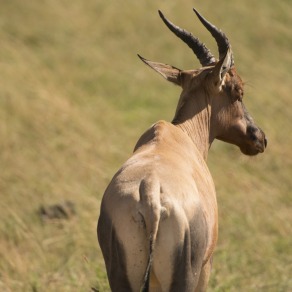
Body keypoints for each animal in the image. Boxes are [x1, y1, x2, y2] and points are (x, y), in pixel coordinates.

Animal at [97, 8, 266, 290]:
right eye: (238, 90)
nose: (260, 138)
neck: (176, 136)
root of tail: (151, 197)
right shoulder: (206, 267)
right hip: (186, 276)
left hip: (122, 277)